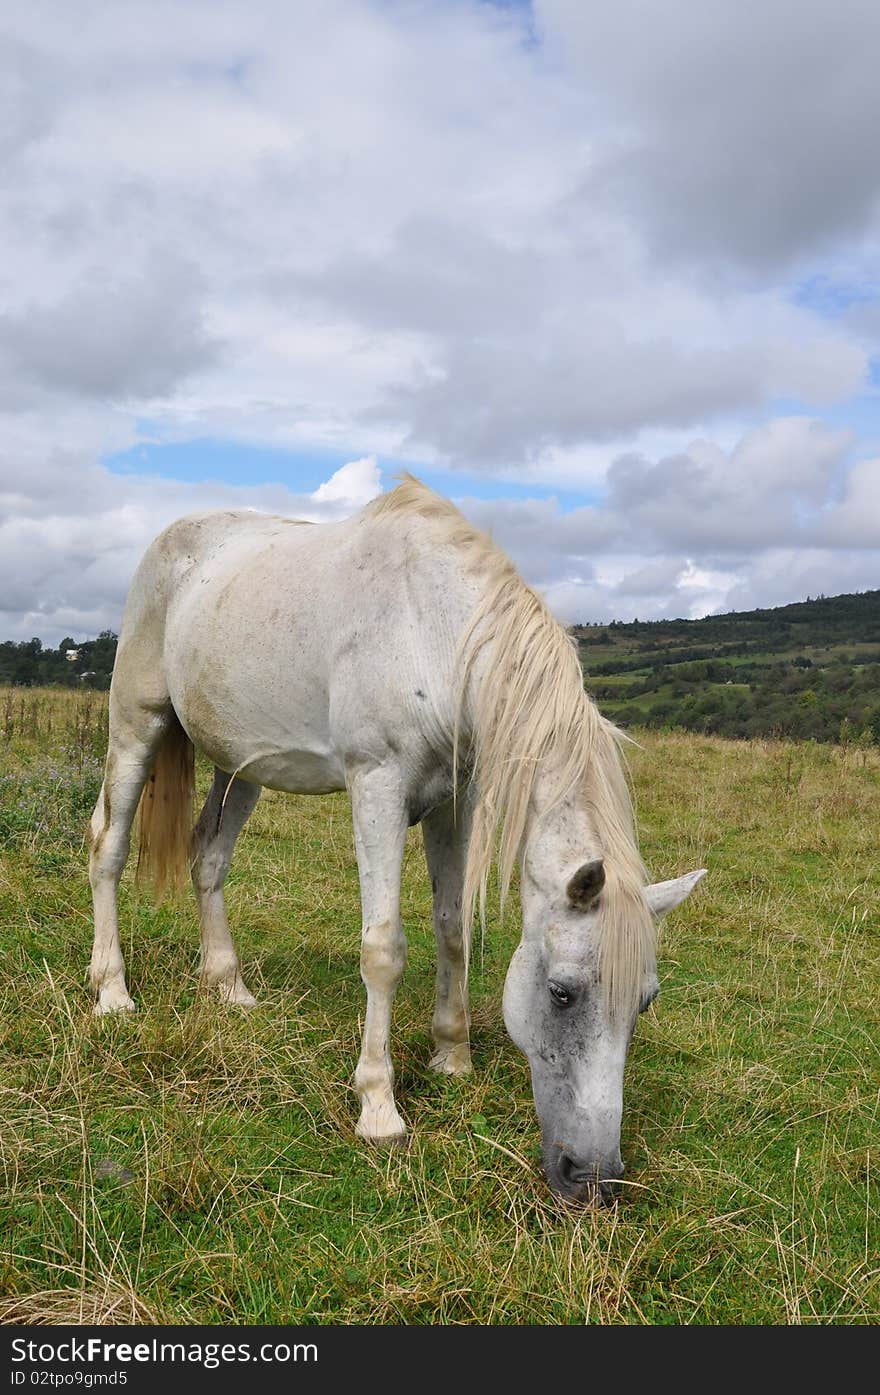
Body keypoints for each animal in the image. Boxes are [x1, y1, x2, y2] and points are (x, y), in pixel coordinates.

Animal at [89, 474, 705, 1205]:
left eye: (645, 1000)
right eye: (563, 992)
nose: (593, 1179)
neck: (434, 630)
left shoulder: (456, 802)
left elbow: (452, 927)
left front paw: (452, 1055)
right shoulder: (377, 787)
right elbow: (383, 948)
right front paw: (379, 1108)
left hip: (241, 767)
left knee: (208, 856)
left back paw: (229, 987)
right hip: (136, 727)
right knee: (106, 847)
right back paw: (112, 992)